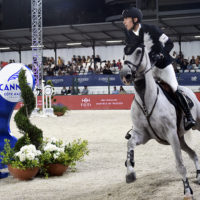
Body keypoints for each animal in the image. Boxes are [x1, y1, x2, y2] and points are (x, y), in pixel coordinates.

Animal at [119, 42, 200, 198]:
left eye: (139, 51)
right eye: (124, 53)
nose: (125, 75)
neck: (146, 101)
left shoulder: (171, 134)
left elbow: (180, 165)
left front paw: (187, 192)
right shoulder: (142, 135)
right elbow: (130, 144)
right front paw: (130, 173)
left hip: (192, 127)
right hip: (180, 139)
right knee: (193, 153)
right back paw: (199, 176)